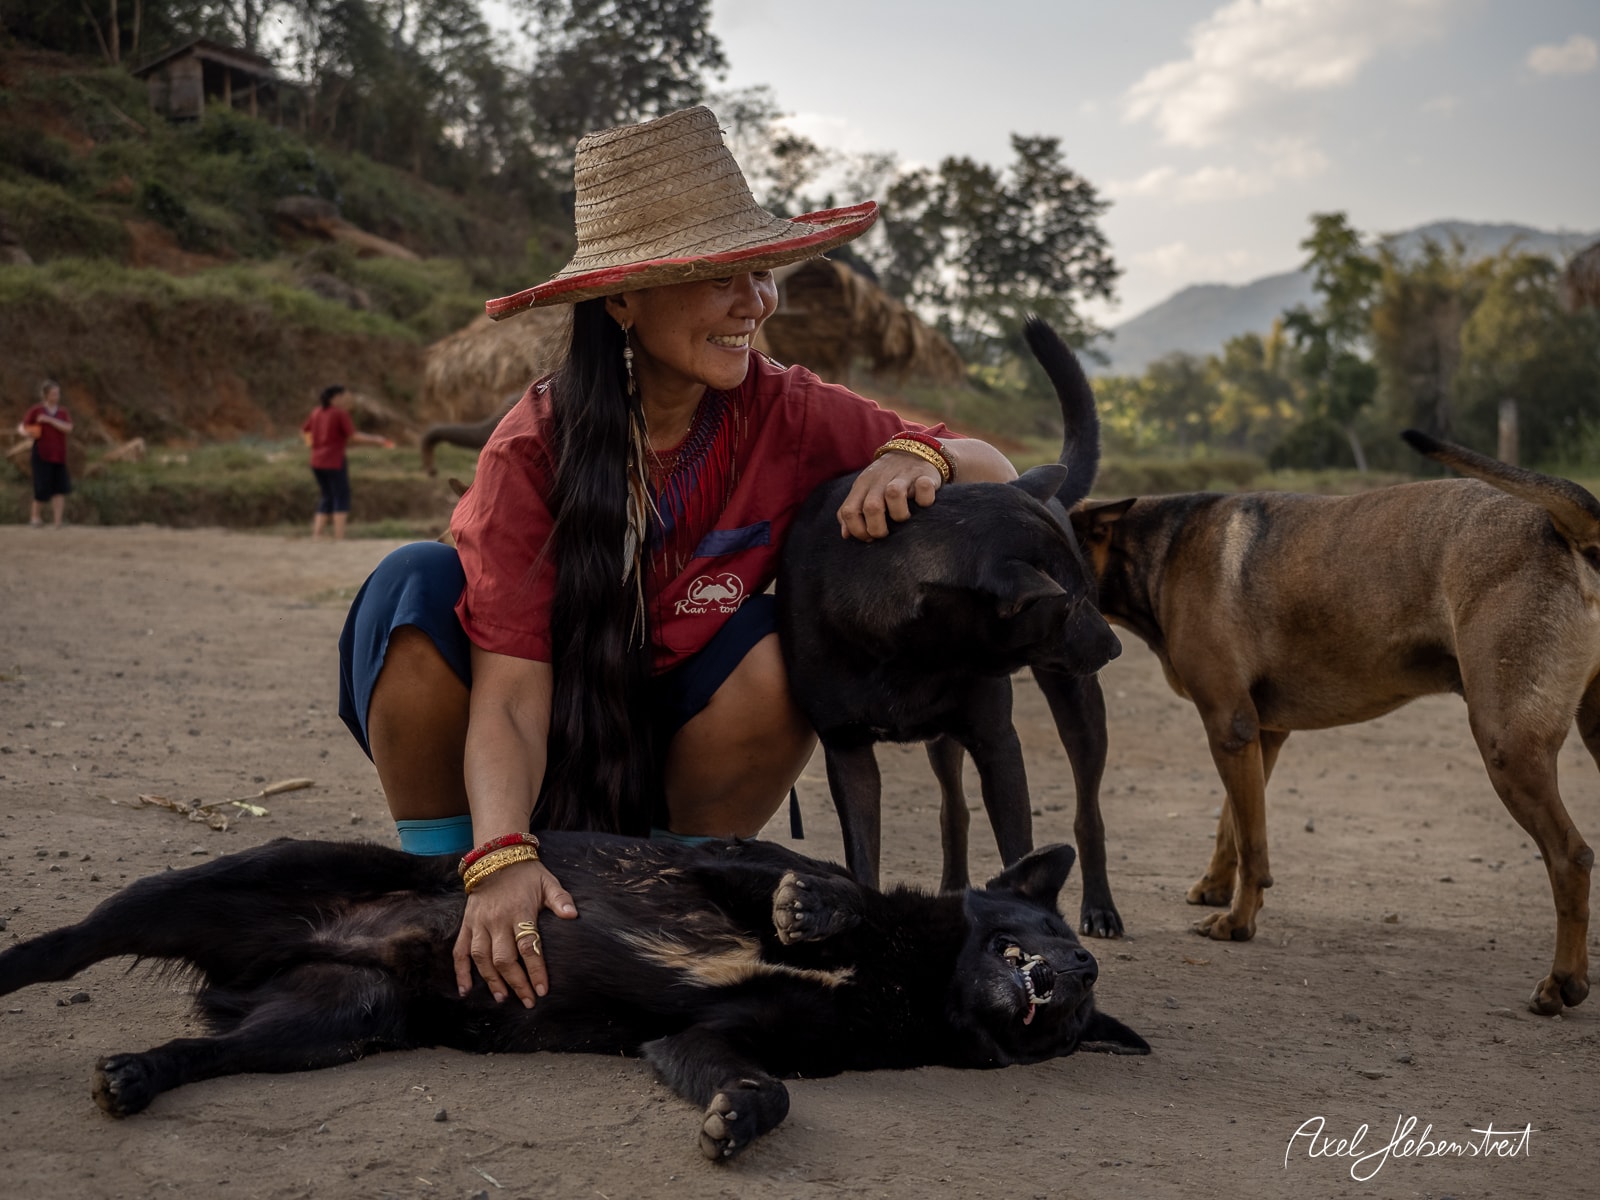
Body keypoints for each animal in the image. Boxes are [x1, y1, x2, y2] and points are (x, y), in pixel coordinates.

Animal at [0, 834, 1148, 1160]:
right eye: (1046, 932)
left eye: (1081, 1015)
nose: (1083, 971)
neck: (911, 981)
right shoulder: (709, 866)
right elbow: (829, 889)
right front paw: (816, 910)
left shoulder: (698, 1042)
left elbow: (764, 1087)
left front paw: (736, 1123)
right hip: (201, 892)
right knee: (62, 948)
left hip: (326, 1025)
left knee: (206, 1056)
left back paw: (139, 1075)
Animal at [778, 318, 1126, 936]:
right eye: (1069, 604)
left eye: (1091, 592)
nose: (1114, 648)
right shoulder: (847, 751)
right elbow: (863, 856)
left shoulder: (998, 744)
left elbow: (1021, 851)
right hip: (943, 739)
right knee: (953, 810)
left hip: (1076, 704)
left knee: (1088, 810)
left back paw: (1100, 906)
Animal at [1070, 431, 1600, 1015]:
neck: (1160, 549)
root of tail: (1570, 529)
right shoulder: (1260, 733)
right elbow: (1234, 823)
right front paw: (1214, 886)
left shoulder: (1229, 724)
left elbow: (1253, 844)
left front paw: (1237, 922)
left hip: (1507, 746)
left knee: (1571, 857)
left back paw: (1563, 981)